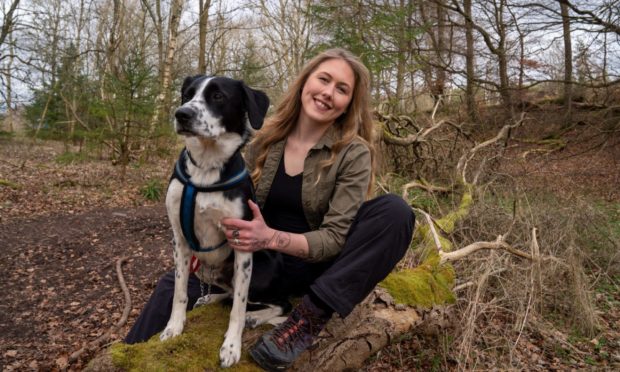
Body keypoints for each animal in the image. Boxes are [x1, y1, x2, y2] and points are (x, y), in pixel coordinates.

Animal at [161, 75, 278, 366]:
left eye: (218, 96)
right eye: (187, 94)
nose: (182, 114)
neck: (206, 169)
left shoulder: (243, 242)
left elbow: (239, 305)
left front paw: (231, 346)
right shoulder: (179, 240)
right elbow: (179, 291)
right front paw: (174, 327)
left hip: (261, 272)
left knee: (280, 302)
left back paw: (256, 316)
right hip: (204, 269)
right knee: (229, 290)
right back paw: (211, 298)